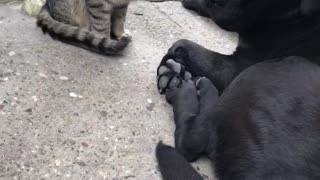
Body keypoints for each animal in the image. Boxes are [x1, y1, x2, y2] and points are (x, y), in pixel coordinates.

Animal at [156, 0, 320, 180]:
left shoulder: (239, 65)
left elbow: (184, 44)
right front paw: (173, 72)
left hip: (275, 70)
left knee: (192, 139)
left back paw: (187, 91)